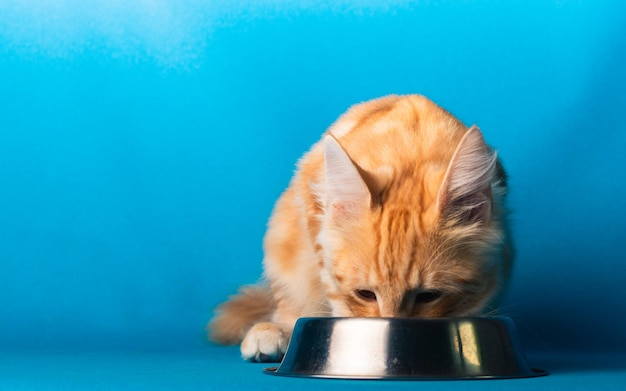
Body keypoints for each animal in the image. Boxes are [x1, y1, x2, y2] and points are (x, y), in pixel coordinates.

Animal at [207, 95, 510, 364]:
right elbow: (335, 295)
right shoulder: (317, 229)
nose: (394, 333)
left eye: (429, 296)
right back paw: (273, 330)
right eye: (365, 294)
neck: (411, 151)